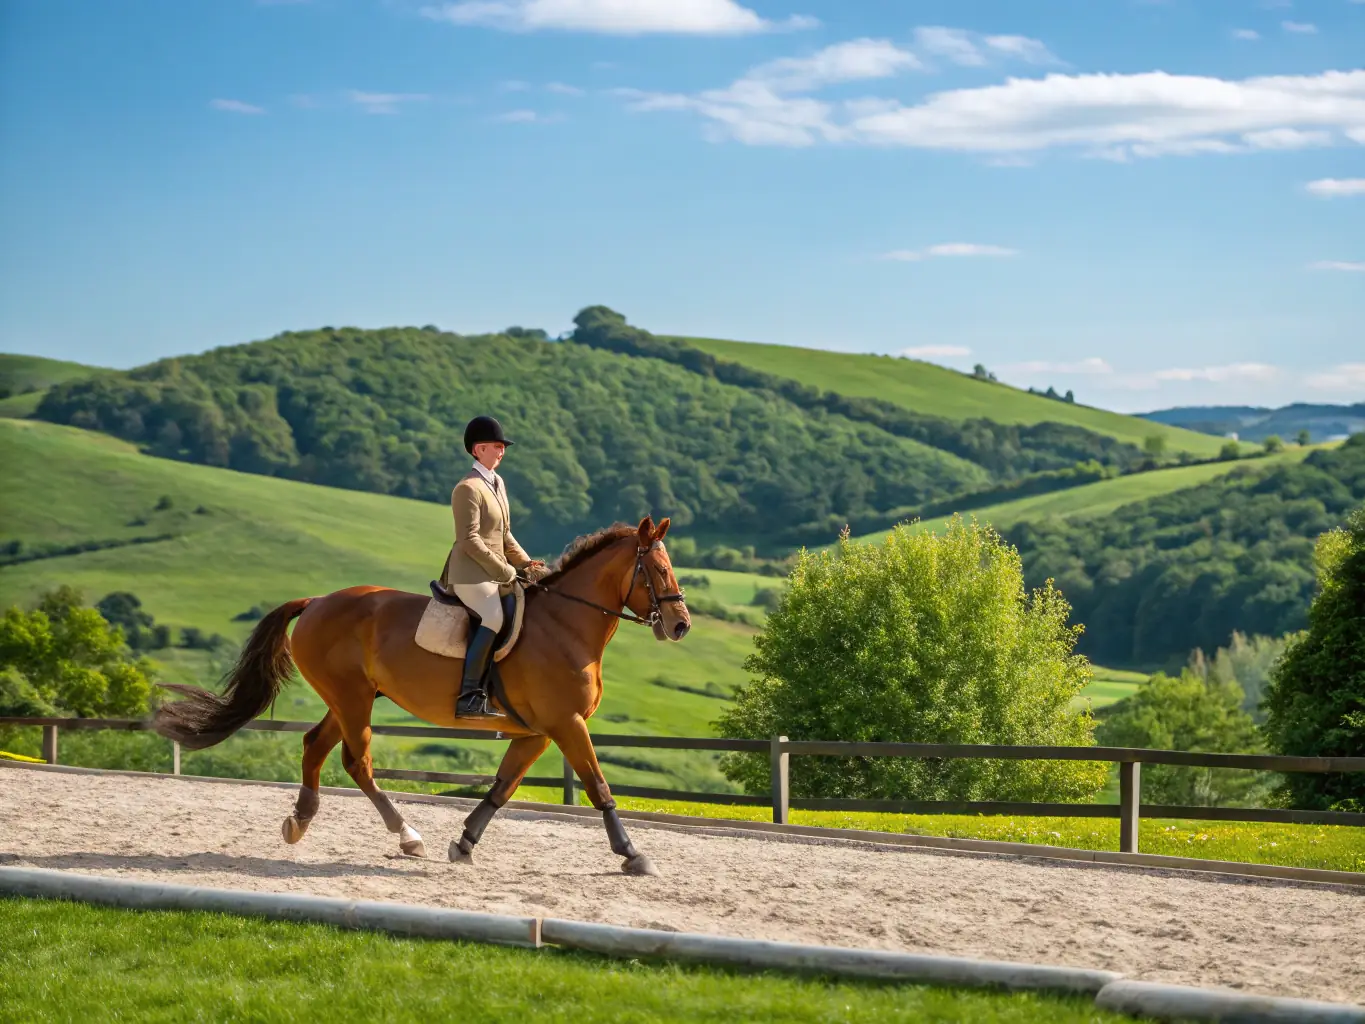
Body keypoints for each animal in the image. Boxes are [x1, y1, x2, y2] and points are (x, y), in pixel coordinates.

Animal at [151, 515, 691, 876]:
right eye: (657, 570)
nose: (680, 626)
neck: (565, 624)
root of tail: (318, 601)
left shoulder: (538, 732)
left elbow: (502, 788)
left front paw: (465, 844)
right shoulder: (566, 724)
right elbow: (598, 786)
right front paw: (634, 855)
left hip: (352, 697)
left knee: (316, 746)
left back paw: (300, 821)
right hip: (352, 698)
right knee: (357, 762)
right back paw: (407, 835)